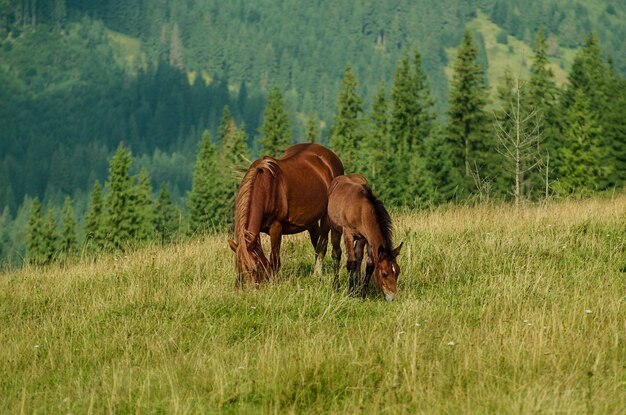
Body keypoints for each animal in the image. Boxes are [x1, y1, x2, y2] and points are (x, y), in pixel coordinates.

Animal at [228, 144, 342, 286]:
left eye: (254, 270)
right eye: (238, 270)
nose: (249, 289)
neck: (266, 188)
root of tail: (330, 156)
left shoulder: (276, 227)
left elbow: (275, 259)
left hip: (326, 216)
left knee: (322, 244)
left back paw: (317, 275)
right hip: (311, 221)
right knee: (316, 242)